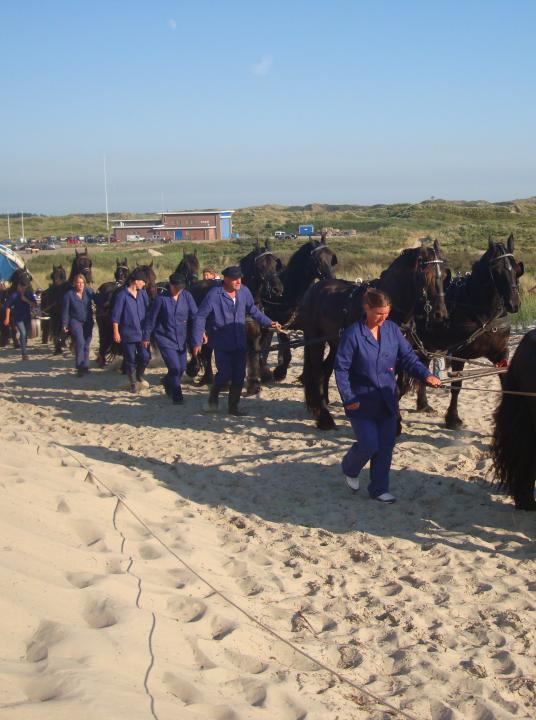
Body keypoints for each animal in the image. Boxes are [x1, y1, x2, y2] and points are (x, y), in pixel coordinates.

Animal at [302, 242, 448, 434]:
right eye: (426, 275)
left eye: (445, 274)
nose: (441, 314)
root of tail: (314, 289)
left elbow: (398, 387)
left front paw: (394, 420)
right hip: (316, 340)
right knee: (316, 372)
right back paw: (324, 418)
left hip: (336, 343)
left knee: (325, 370)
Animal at [414, 235, 524, 428]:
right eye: (497, 270)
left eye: (517, 269)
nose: (514, 303)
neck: (482, 313)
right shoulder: (458, 354)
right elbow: (456, 385)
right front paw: (453, 418)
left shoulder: (500, 353)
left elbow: (506, 381)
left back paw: (423, 405)